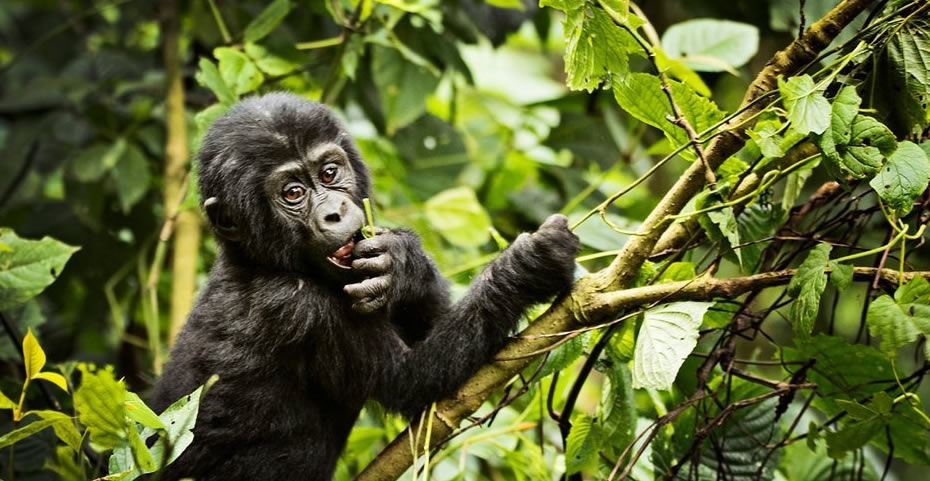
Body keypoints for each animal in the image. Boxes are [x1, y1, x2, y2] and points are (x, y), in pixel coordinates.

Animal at [152, 92, 580, 478]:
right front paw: (528, 266)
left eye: (329, 173)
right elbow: (417, 382)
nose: (334, 212)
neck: (260, 261)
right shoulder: (296, 306)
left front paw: (403, 263)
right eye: (293, 193)